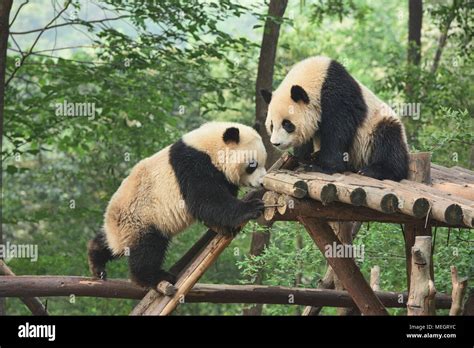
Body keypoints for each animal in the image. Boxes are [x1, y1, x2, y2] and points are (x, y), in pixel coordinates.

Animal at [87, 122, 266, 288]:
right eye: (252, 165)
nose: (262, 182)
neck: (209, 147)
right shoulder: (194, 165)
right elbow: (206, 200)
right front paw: (252, 207)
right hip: (140, 219)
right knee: (147, 249)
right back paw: (154, 277)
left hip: (121, 228)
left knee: (107, 244)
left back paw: (97, 263)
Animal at [262, 55, 410, 181]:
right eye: (271, 125)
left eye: (287, 124)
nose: (276, 143)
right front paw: (303, 157)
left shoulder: (337, 96)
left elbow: (337, 131)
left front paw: (322, 167)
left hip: (376, 125)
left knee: (389, 142)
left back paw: (374, 170)